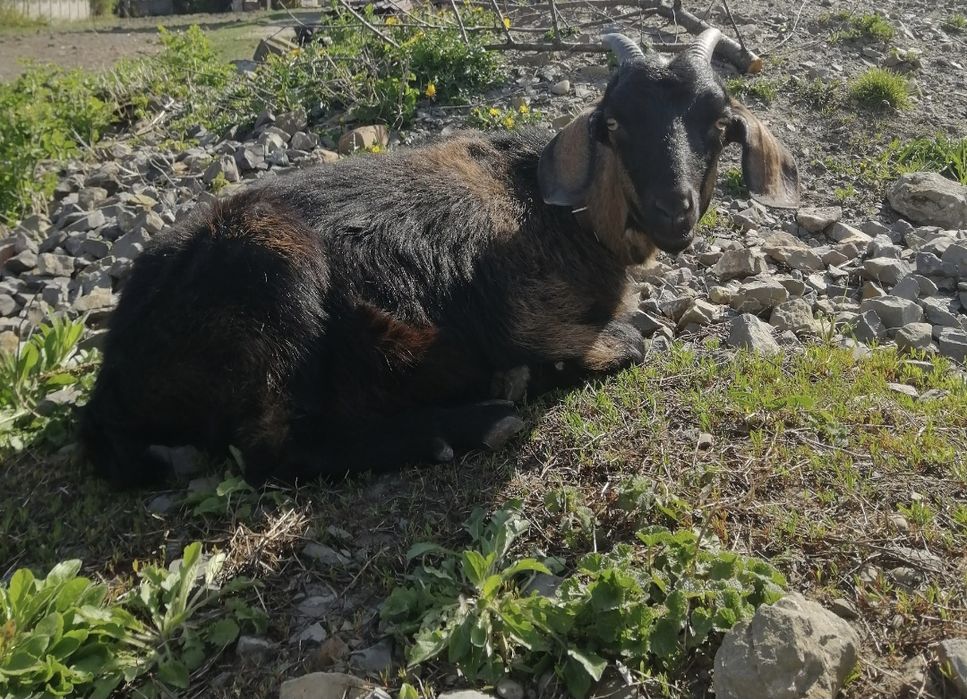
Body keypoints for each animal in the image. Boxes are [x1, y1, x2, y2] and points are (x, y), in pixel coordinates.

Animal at [80, 29, 799, 487]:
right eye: (615, 124)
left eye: (719, 123)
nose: (671, 211)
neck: (558, 214)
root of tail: (112, 376)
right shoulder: (525, 314)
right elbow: (628, 341)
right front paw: (536, 373)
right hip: (276, 285)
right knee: (269, 451)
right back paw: (468, 424)